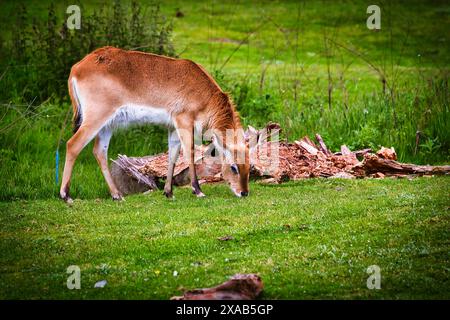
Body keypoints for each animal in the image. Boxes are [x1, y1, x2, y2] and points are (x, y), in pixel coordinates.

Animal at [59, 46, 250, 202]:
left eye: (249, 166)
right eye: (234, 167)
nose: (244, 193)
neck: (204, 94)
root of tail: (76, 68)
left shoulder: (173, 128)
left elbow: (173, 156)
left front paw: (168, 192)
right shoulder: (184, 123)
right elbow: (189, 154)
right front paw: (198, 191)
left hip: (108, 125)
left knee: (99, 151)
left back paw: (117, 195)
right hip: (95, 118)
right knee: (72, 144)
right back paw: (66, 195)